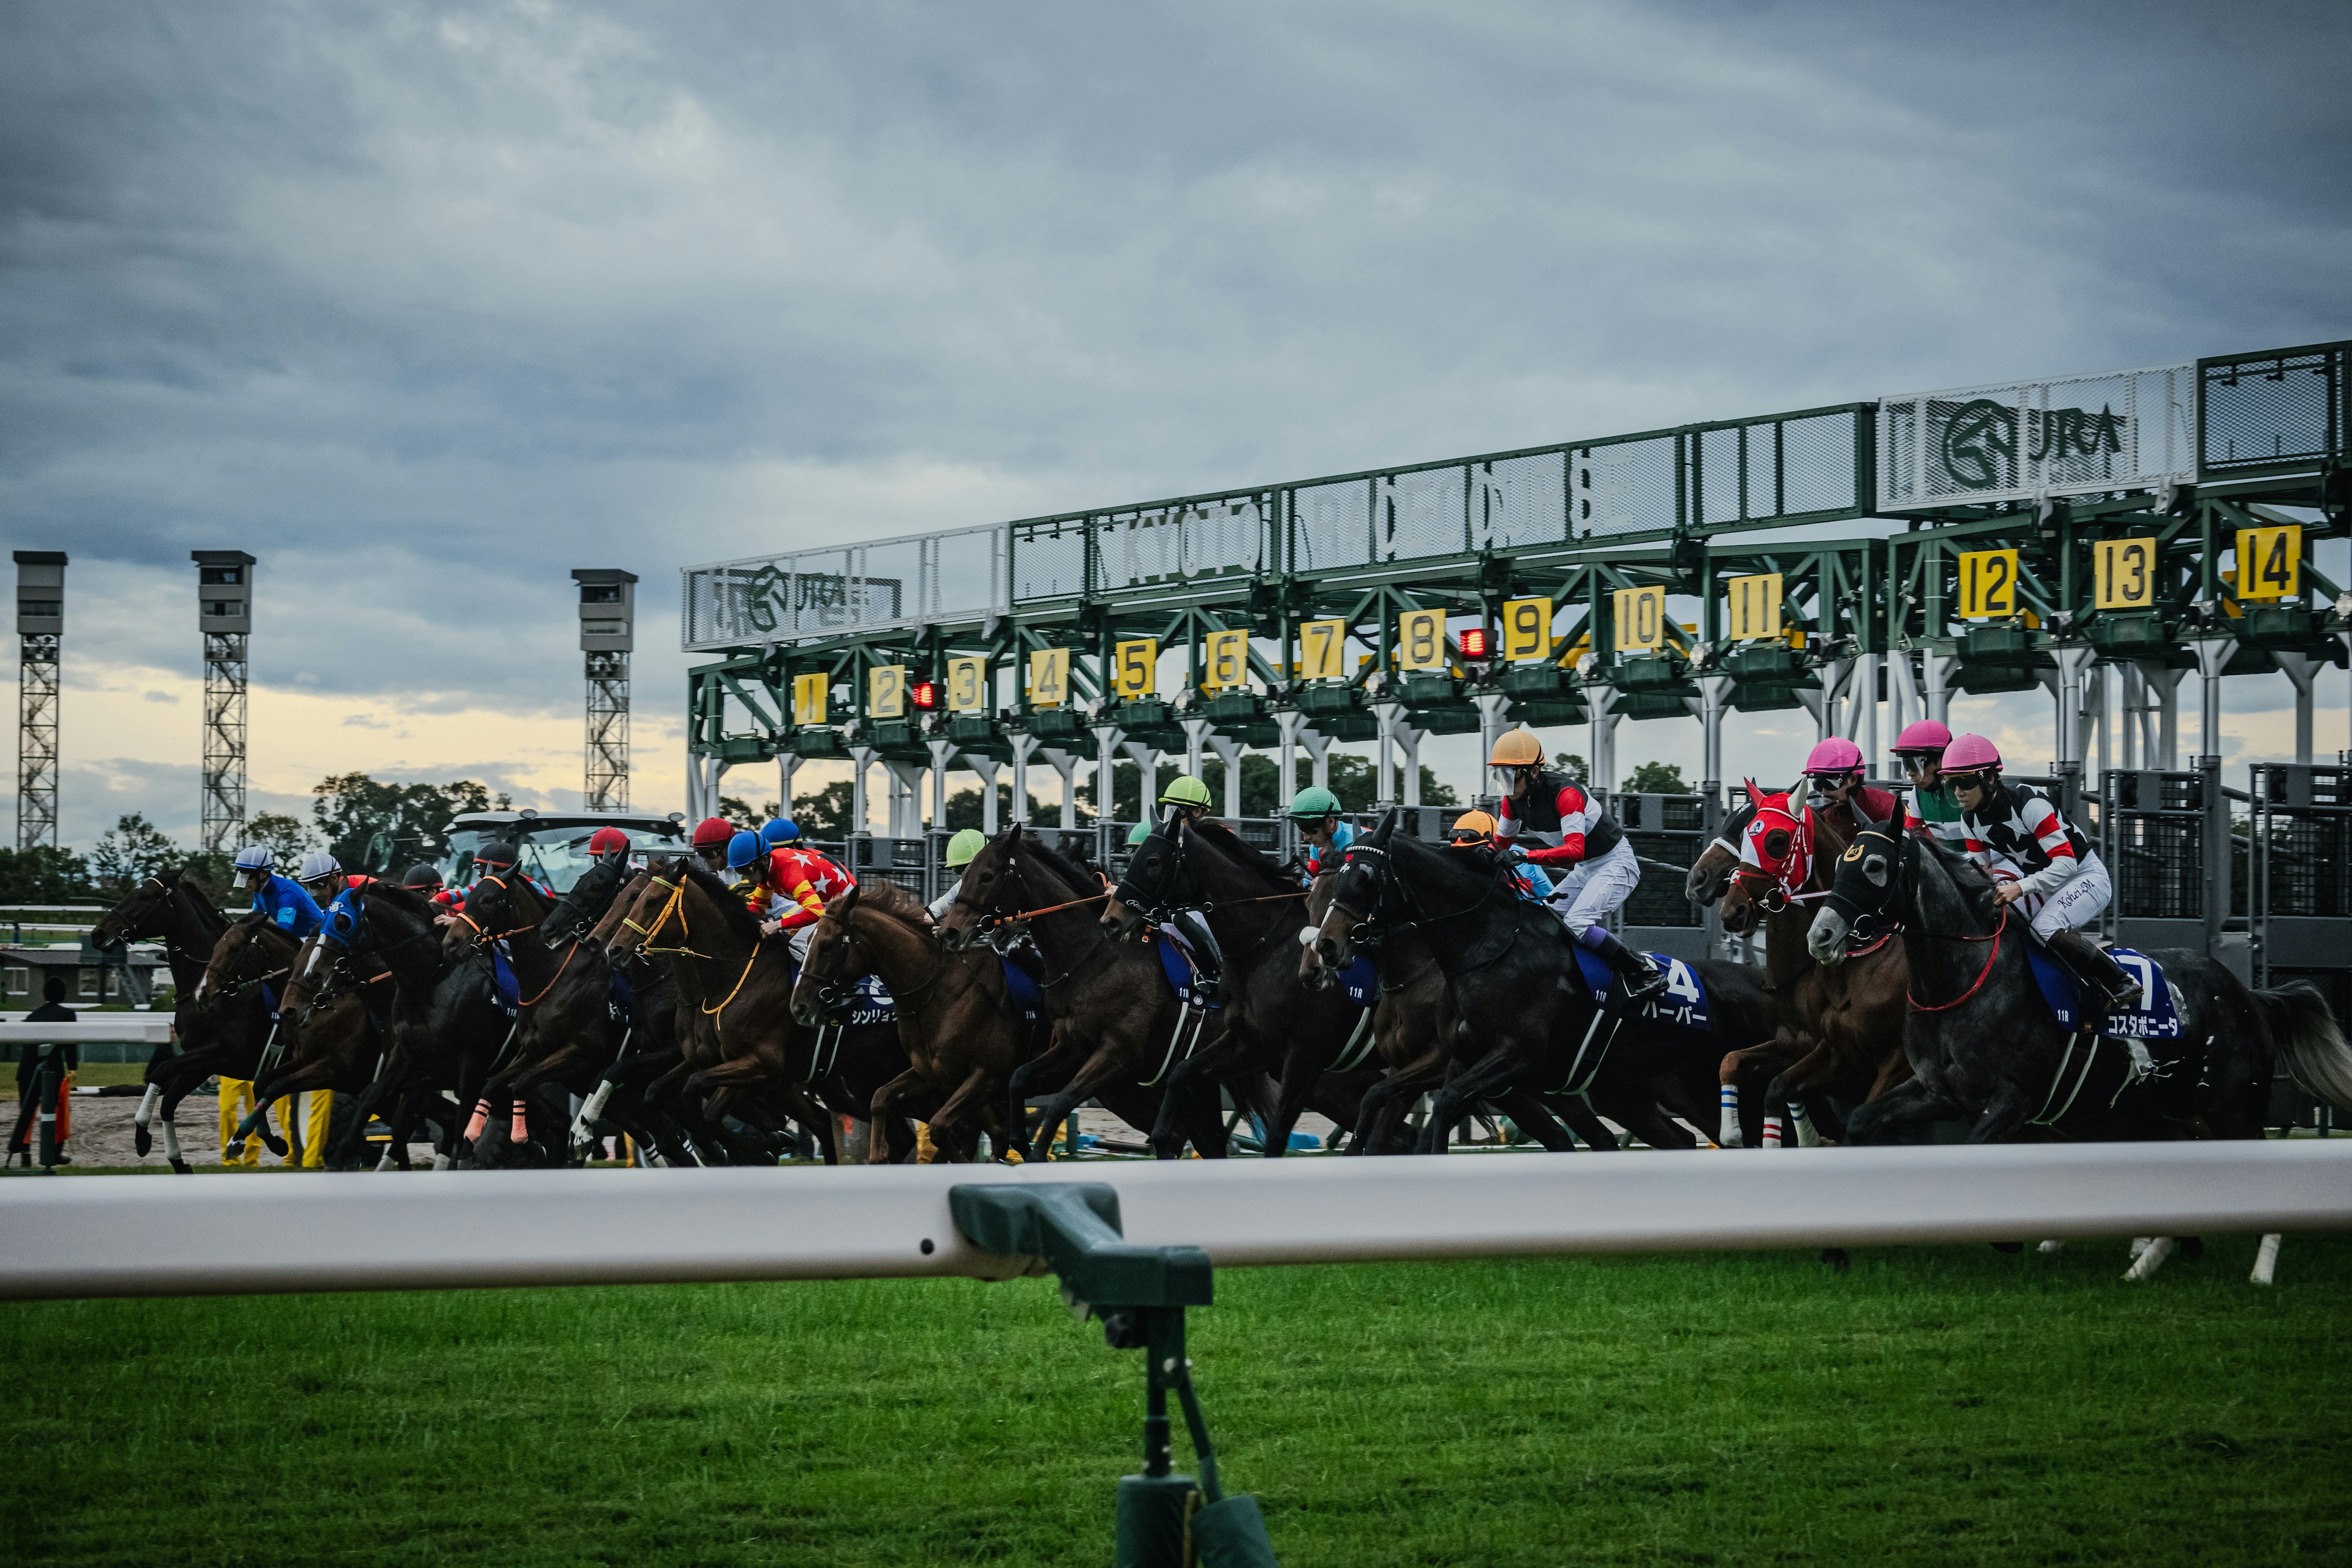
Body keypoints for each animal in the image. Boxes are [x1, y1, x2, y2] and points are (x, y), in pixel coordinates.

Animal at [785, 884, 1035, 1166]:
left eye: (826, 945)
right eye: (807, 942)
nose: (798, 1006)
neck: (940, 991)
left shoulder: (987, 1076)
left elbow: (940, 1129)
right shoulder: (931, 1074)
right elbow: (881, 1101)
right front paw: (878, 1156)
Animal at [931, 827, 1242, 1161]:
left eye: (987, 876)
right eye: (965, 875)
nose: (949, 932)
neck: (1095, 958)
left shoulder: (1116, 1051)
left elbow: (1060, 1103)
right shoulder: (1073, 1047)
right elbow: (1018, 1081)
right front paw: (1019, 1145)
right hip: (1196, 1079)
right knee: (1207, 1138)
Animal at [1101, 818, 1392, 1161]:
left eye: (1153, 861)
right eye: (1133, 857)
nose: (1111, 920)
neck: (1267, 951)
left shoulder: (1304, 1057)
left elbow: (1276, 1137)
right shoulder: (1251, 1044)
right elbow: (1179, 1076)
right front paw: (1163, 1141)